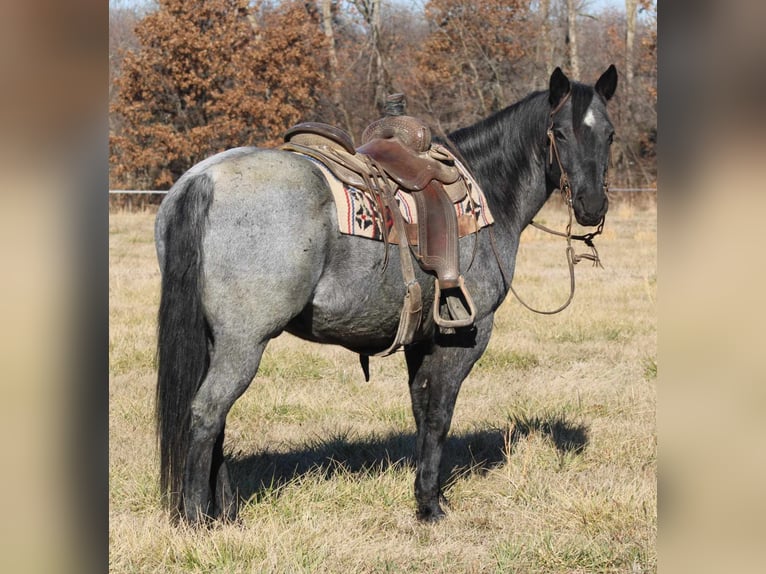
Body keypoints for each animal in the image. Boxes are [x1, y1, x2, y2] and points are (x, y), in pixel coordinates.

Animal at [154, 65, 616, 524]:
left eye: (609, 134)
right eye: (561, 132)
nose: (592, 205)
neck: (487, 193)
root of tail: (202, 180)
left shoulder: (422, 338)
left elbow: (420, 409)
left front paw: (428, 494)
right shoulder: (465, 336)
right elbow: (439, 414)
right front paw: (430, 505)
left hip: (216, 339)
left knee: (215, 420)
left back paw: (226, 512)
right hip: (244, 342)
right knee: (207, 413)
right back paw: (196, 518)